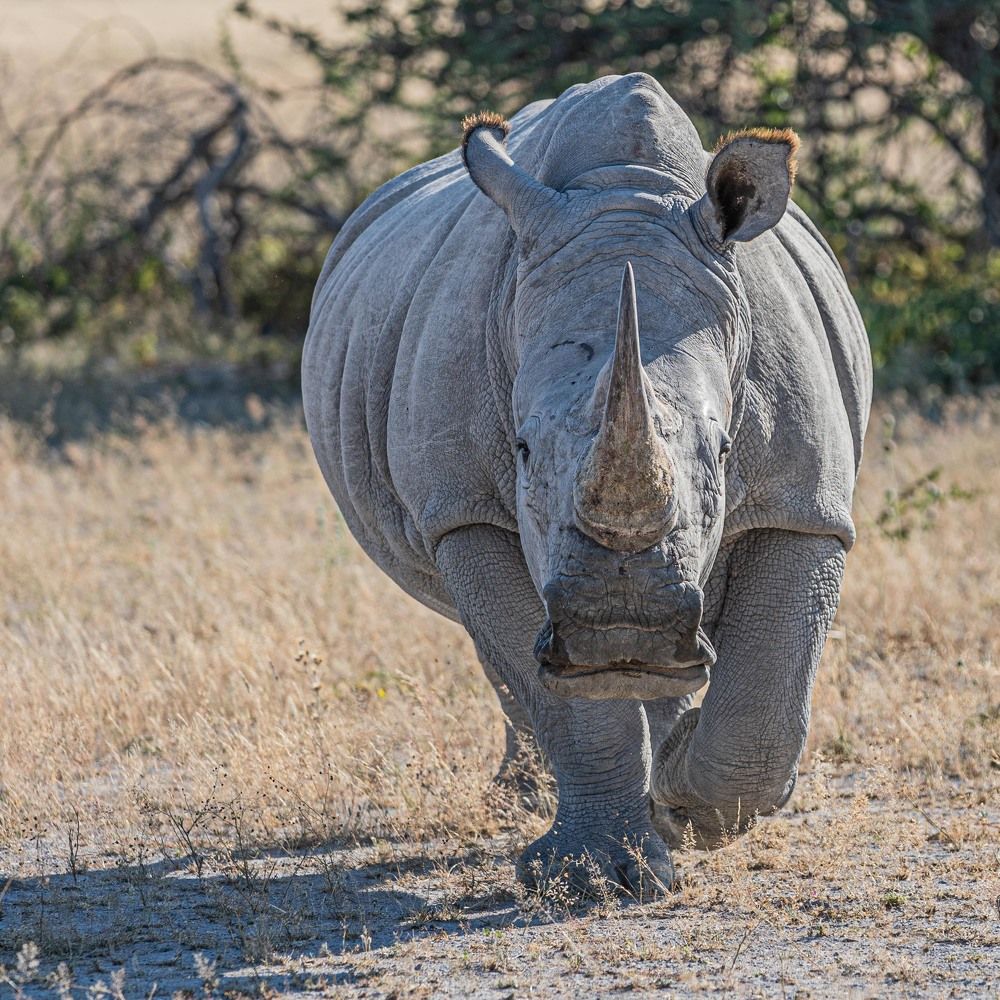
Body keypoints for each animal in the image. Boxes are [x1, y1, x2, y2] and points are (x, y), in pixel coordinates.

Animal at [303, 74, 872, 896]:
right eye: (521, 450)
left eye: (725, 449)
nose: (619, 630)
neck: (624, 193)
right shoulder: (465, 511)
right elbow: (553, 686)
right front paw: (593, 876)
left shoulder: (805, 503)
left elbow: (766, 701)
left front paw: (681, 808)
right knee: (506, 657)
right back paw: (532, 797)